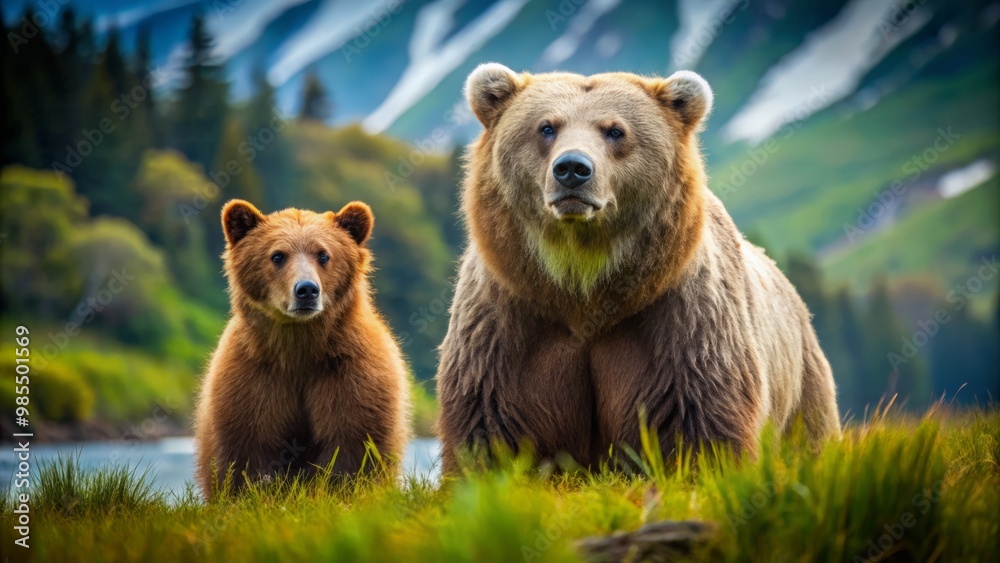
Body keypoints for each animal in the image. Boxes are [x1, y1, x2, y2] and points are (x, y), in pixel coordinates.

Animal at [195, 199, 411, 497]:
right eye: (278, 256)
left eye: (323, 255)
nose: (307, 290)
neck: (300, 348)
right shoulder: (255, 375)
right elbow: (249, 447)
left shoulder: (348, 372)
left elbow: (352, 440)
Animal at [435, 64, 840, 471]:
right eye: (546, 127)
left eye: (615, 130)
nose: (572, 168)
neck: (580, 284)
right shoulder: (506, 315)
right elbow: (488, 420)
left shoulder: (684, 321)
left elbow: (702, 420)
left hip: (802, 381)